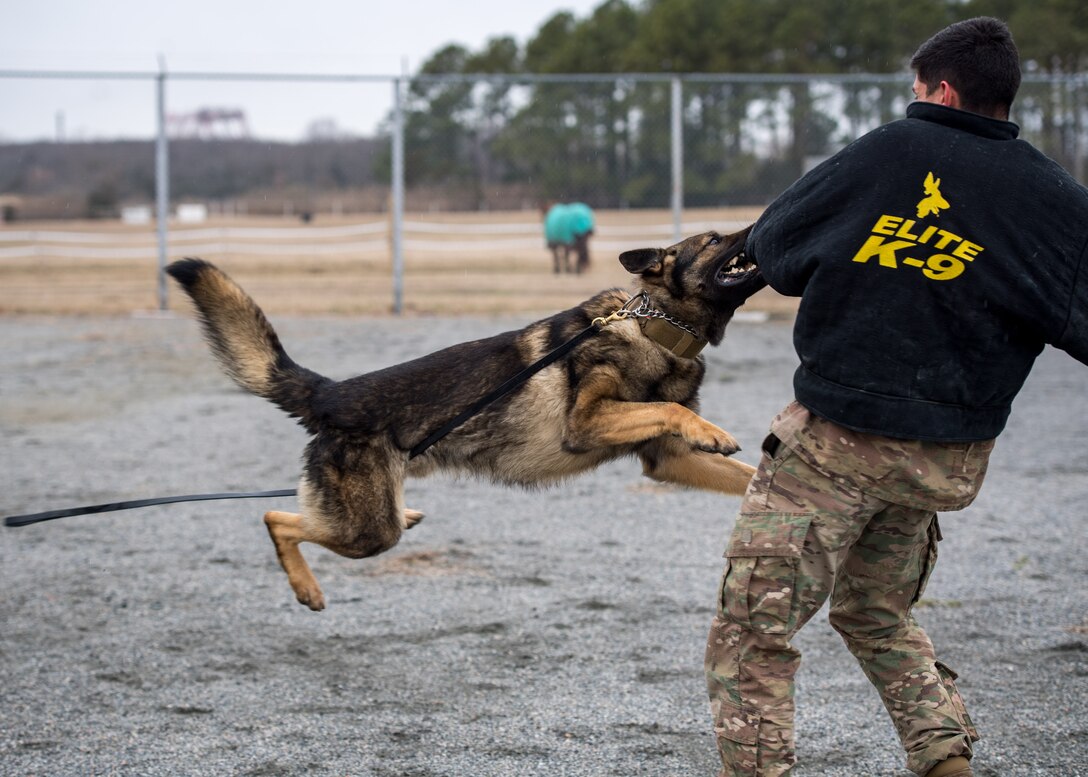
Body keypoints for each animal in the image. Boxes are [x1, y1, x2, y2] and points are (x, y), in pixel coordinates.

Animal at [167, 227, 765, 609]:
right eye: (715, 240)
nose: (758, 223)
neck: (654, 327)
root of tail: (333, 394)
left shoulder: (667, 459)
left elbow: (741, 473)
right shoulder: (586, 422)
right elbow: (665, 406)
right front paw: (712, 430)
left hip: (370, 517)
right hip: (367, 531)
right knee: (277, 518)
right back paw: (307, 589)